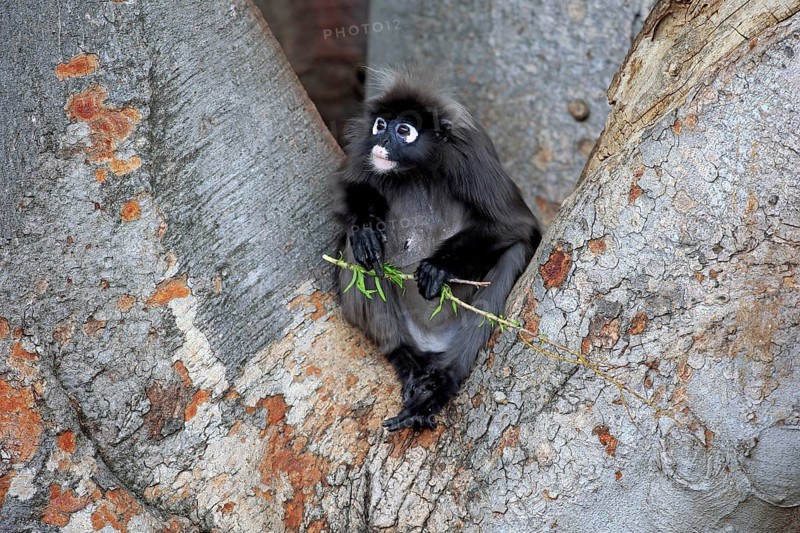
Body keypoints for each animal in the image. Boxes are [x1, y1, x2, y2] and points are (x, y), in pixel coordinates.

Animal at [329, 69, 541, 431]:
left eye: (404, 131)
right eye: (381, 125)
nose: (383, 143)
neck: (417, 170)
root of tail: (431, 342)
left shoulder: (470, 156)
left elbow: (517, 226)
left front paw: (438, 267)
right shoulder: (362, 151)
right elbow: (352, 193)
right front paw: (366, 226)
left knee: (514, 251)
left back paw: (442, 382)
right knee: (361, 254)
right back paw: (405, 356)